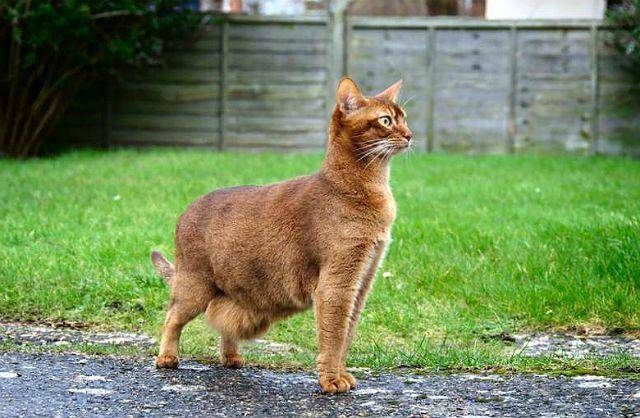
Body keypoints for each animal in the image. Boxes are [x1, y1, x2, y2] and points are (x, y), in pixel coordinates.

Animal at [152, 77, 412, 394]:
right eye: (385, 120)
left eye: (404, 118)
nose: (410, 135)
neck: (367, 188)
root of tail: (186, 209)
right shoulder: (337, 283)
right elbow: (335, 335)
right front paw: (331, 380)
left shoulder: (362, 281)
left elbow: (347, 334)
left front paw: (342, 375)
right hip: (195, 285)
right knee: (172, 317)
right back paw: (167, 357)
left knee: (222, 320)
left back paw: (231, 357)